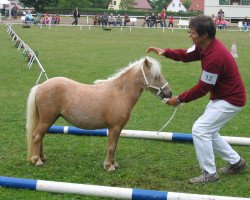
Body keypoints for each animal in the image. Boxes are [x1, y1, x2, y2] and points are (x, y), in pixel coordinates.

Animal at [26, 55, 172, 170]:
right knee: (37, 136)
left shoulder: (118, 128)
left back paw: (42, 157)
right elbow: (111, 146)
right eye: (156, 77)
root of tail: (41, 86)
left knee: (41, 136)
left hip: (50, 119)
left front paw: (114, 163)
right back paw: (37, 160)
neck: (120, 93)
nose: (169, 93)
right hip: (47, 119)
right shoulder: (114, 128)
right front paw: (109, 166)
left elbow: (115, 146)